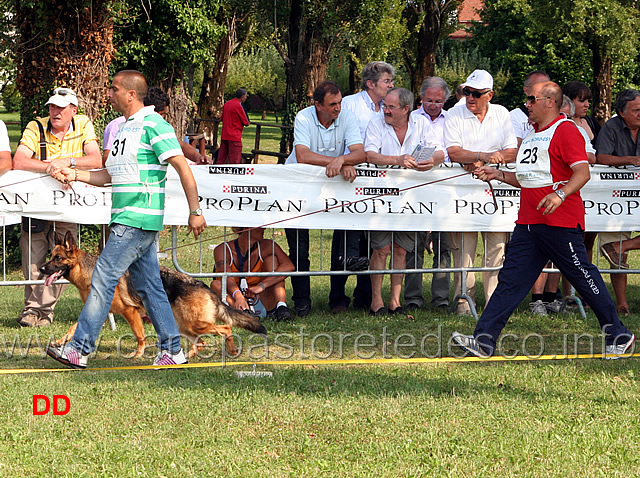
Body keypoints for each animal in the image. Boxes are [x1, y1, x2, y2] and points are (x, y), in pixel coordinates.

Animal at [40, 232, 266, 358]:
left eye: (57, 258)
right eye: (51, 256)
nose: (41, 269)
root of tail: (202, 285)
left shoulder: (130, 312)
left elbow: (139, 335)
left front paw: (138, 354)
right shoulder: (101, 311)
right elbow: (74, 327)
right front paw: (60, 342)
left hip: (194, 324)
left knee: (226, 328)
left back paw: (231, 350)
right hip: (186, 327)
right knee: (202, 342)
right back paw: (187, 357)